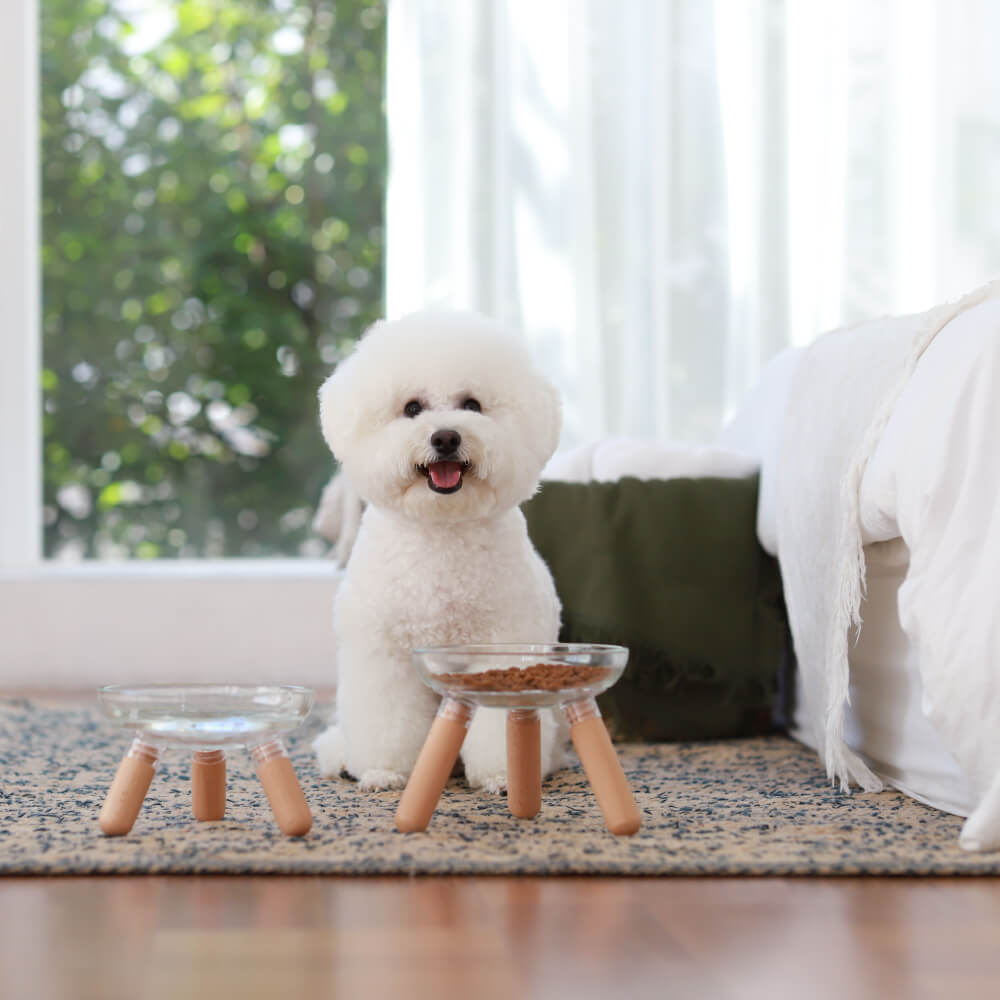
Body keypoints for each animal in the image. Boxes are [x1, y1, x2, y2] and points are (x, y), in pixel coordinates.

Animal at [308, 308, 568, 792]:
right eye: (412, 408)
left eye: (473, 405)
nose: (445, 438)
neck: (441, 531)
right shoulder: (384, 652)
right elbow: (386, 717)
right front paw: (384, 770)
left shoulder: (502, 648)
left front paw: (502, 774)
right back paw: (342, 758)